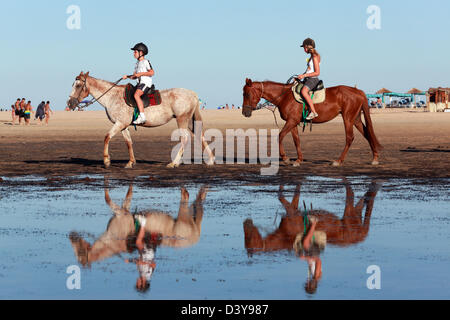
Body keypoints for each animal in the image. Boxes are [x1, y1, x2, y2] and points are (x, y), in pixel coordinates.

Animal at [66, 72, 214, 168]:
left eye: (78, 86)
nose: (69, 104)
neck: (112, 97)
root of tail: (193, 94)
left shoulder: (119, 124)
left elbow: (107, 137)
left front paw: (107, 161)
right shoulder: (124, 125)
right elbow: (128, 142)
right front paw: (131, 162)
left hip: (182, 119)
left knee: (185, 138)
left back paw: (174, 163)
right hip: (189, 121)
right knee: (200, 135)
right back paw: (211, 160)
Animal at [241, 79, 382, 166]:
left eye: (246, 94)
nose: (244, 113)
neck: (284, 96)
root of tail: (357, 91)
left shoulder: (291, 121)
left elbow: (280, 136)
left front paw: (285, 158)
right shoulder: (293, 122)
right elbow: (296, 140)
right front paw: (298, 160)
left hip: (348, 118)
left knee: (350, 137)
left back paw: (338, 161)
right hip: (355, 119)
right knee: (367, 134)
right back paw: (375, 158)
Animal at [244, 180, 382, 255]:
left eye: (249, 239)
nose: (246, 222)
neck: (284, 236)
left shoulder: (291, 211)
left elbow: (281, 195)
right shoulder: (292, 209)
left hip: (350, 212)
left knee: (352, 193)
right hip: (355, 213)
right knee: (363, 200)